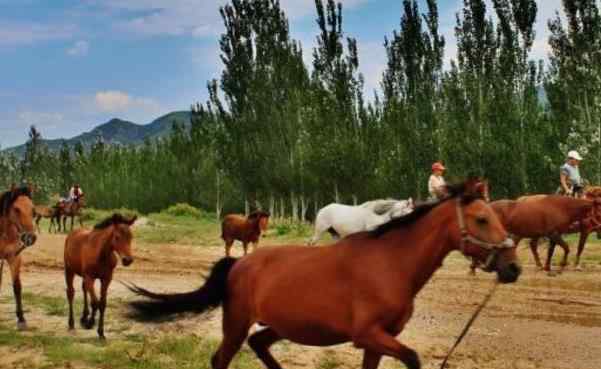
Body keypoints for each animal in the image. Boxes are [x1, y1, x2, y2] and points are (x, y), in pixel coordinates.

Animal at [0, 185, 37, 330]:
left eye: (33, 209)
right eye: (16, 209)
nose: (30, 238)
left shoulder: (14, 258)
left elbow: (17, 286)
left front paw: (21, 319)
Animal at [127, 180, 520, 368]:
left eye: (496, 216)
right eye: (481, 219)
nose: (513, 268)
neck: (391, 264)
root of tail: (239, 263)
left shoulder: (378, 341)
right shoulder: (368, 335)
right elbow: (413, 358)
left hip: (279, 325)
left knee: (259, 345)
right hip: (236, 323)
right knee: (221, 359)